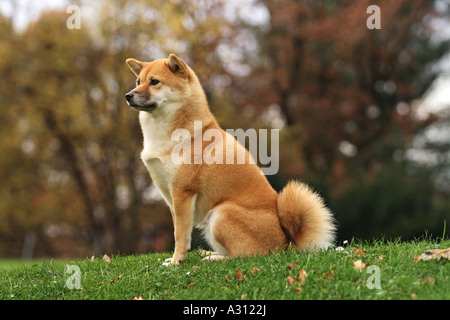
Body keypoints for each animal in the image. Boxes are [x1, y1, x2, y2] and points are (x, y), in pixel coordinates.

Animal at [125, 53, 336, 264]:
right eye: (138, 82)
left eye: (154, 82)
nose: (128, 95)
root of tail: (286, 244)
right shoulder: (171, 196)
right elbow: (178, 229)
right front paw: (174, 260)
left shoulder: (182, 192)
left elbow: (180, 235)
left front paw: (177, 262)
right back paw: (209, 253)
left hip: (221, 214)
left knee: (245, 255)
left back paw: (214, 259)